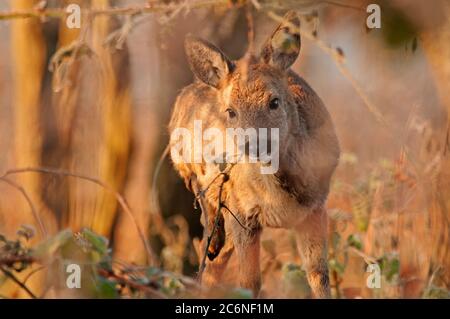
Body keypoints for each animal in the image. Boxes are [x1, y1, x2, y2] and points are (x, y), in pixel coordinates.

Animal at [167, 10, 340, 300]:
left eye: (274, 102)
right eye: (230, 111)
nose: (252, 144)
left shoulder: (317, 206)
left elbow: (319, 277)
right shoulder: (242, 211)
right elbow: (249, 282)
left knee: (213, 264)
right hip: (184, 160)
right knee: (204, 216)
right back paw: (212, 242)